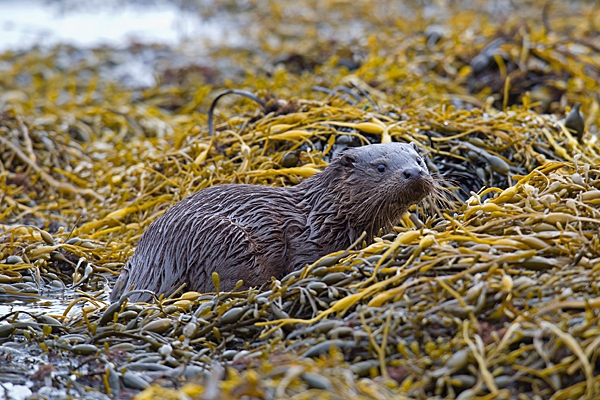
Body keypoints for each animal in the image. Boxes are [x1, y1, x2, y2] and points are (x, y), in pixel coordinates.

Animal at [110, 142, 434, 302]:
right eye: (381, 167)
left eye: (419, 161)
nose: (414, 173)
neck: (325, 216)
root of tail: (159, 258)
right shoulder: (307, 245)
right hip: (226, 240)